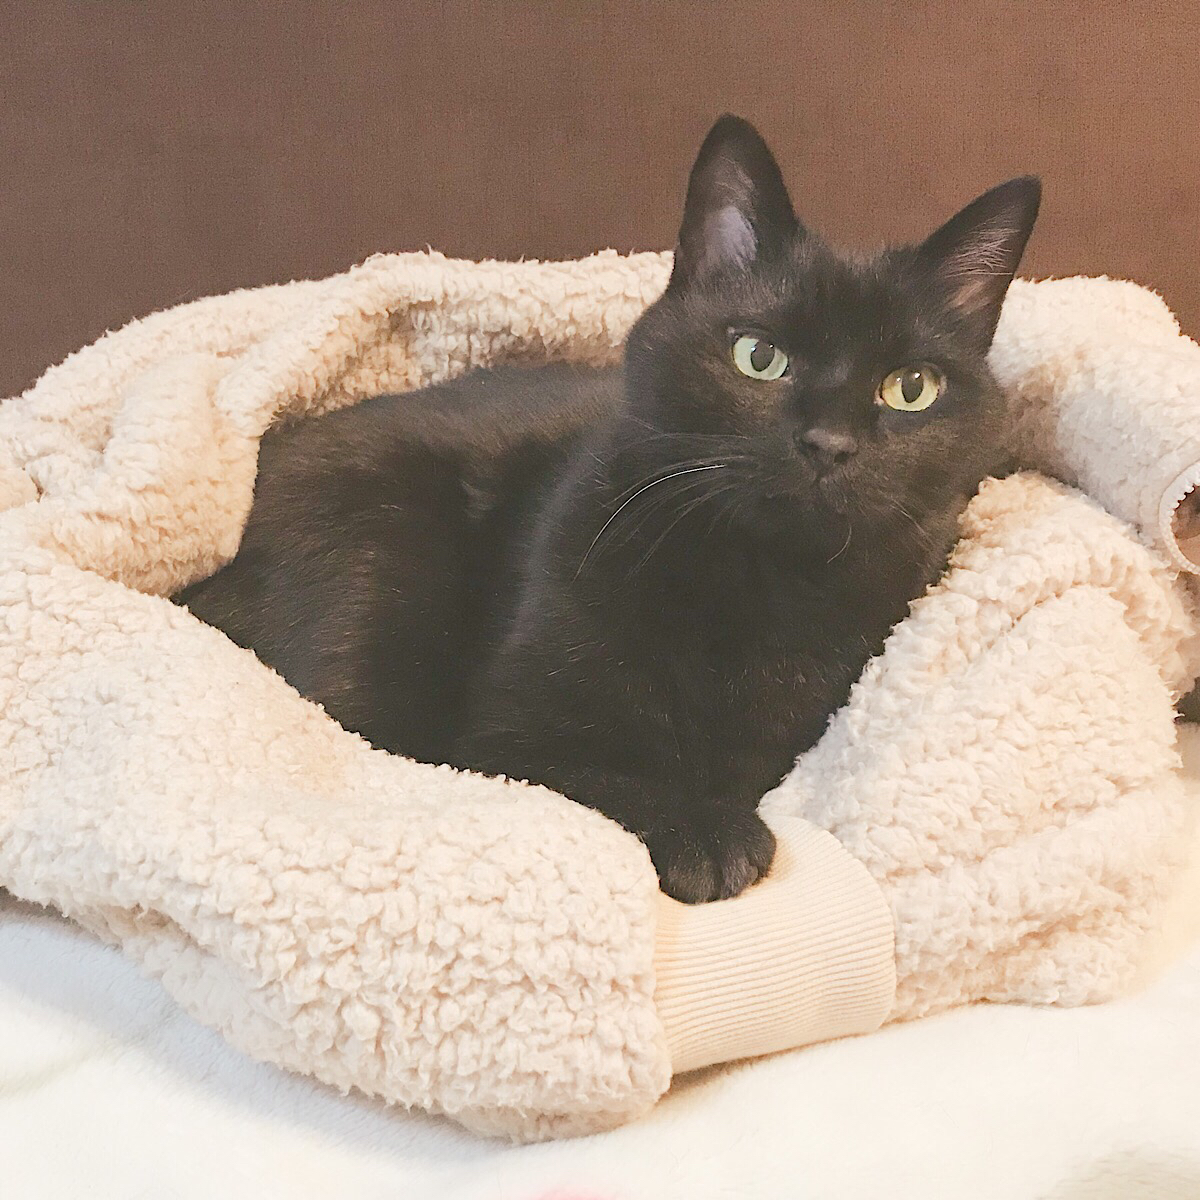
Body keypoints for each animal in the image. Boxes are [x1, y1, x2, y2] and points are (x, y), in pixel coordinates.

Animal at [177, 115, 1040, 904]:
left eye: (911, 387)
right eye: (758, 355)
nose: (829, 445)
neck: (756, 588)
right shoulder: (505, 737)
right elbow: (596, 772)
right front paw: (705, 835)